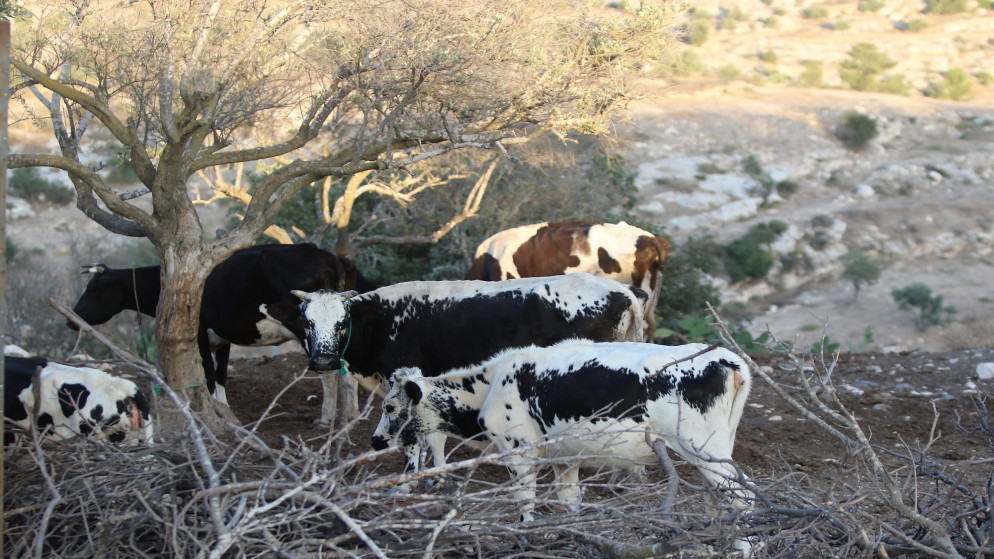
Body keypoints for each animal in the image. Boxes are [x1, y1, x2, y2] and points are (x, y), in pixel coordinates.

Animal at [68, 243, 374, 422]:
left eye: (93, 289)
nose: (72, 320)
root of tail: (329, 256)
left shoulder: (199, 336)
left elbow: (207, 374)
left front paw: (216, 410)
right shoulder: (224, 337)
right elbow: (221, 374)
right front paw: (224, 407)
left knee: (330, 372)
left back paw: (328, 418)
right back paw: (351, 416)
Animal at [372, 340, 752, 524]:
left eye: (389, 407)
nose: (375, 440)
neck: (490, 383)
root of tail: (724, 358)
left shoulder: (519, 453)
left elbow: (525, 507)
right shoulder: (564, 458)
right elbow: (569, 502)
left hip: (703, 449)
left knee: (743, 499)